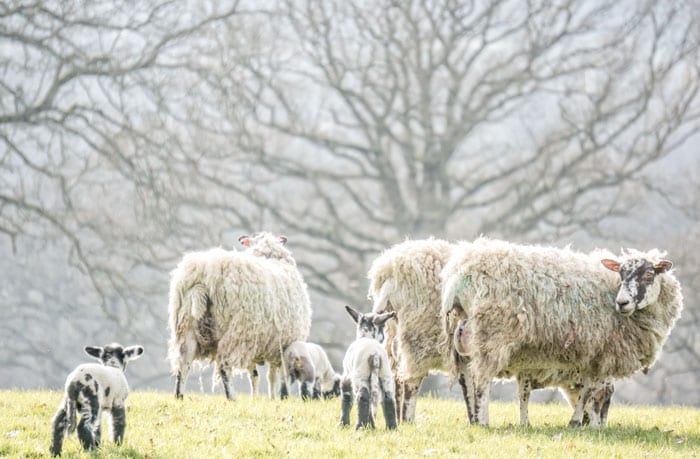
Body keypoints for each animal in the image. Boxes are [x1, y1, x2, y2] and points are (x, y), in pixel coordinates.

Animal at [168, 232, 310, 400]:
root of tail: (205, 276)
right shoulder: (283, 345)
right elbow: (276, 376)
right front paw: (280, 398)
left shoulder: (259, 346)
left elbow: (257, 375)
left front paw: (258, 398)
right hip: (238, 333)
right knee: (224, 366)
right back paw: (232, 397)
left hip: (186, 327)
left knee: (183, 363)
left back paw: (179, 395)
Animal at [440, 237, 680, 428]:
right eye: (621, 274)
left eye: (649, 275)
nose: (622, 302)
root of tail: (459, 271)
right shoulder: (602, 354)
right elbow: (592, 391)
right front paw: (582, 423)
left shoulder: (591, 355)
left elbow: (589, 391)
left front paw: (586, 423)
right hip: (492, 333)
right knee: (482, 380)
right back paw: (483, 421)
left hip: (464, 336)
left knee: (468, 378)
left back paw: (474, 419)